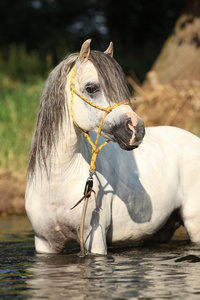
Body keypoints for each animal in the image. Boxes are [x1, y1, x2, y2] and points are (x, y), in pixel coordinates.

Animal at [25, 39, 200, 254]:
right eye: (91, 88)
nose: (137, 129)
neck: (57, 182)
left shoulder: (96, 240)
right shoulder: (44, 242)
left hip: (195, 224)